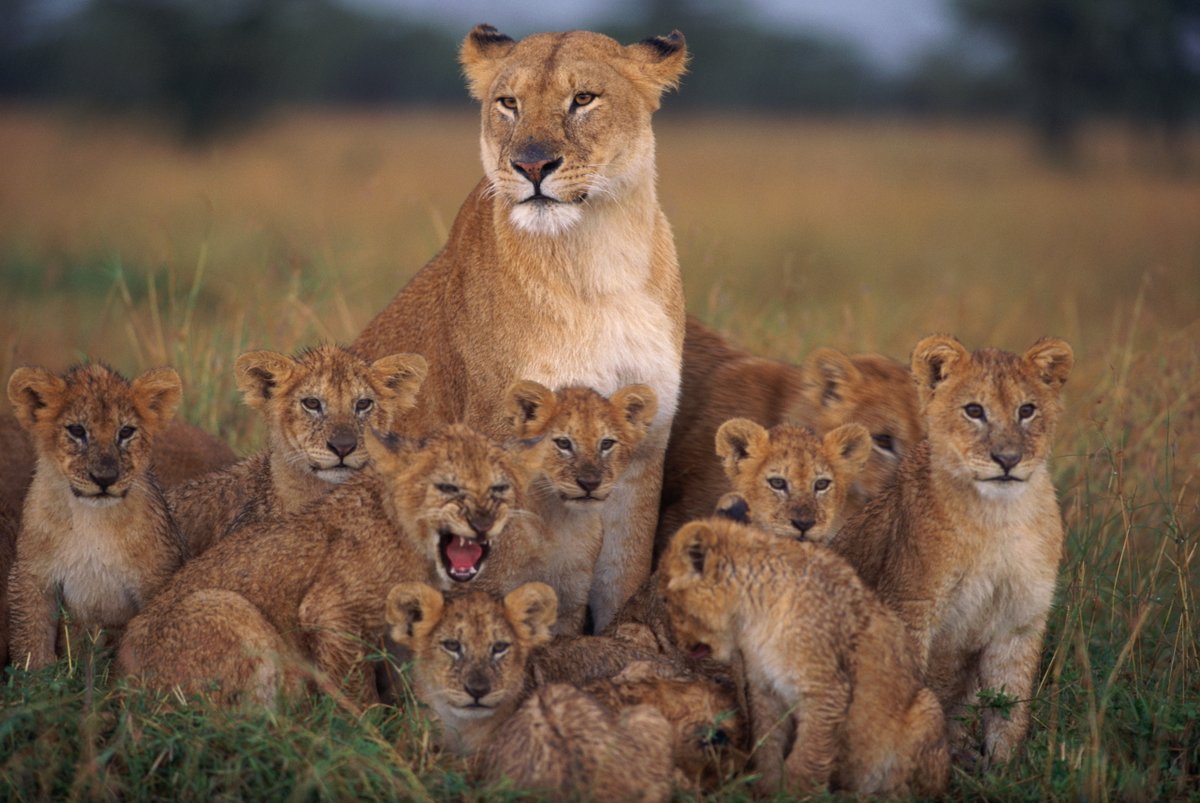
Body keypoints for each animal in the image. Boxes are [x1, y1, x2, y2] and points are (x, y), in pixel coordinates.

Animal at [6, 363, 186, 669]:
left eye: (126, 431)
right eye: (77, 430)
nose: (104, 478)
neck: (91, 519)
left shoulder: (158, 576)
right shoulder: (33, 576)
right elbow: (31, 642)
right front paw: (37, 678)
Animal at [118, 424, 534, 704]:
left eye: (499, 488)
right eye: (447, 487)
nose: (482, 522)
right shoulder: (328, 613)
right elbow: (358, 693)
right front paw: (373, 745)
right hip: (229, 607)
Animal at [662, 518, 949, 796]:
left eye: (669, 601)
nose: (676, 639)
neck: (752, 619)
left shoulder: (827, 691)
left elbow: (807, 757)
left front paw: (795, 794)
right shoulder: (765, 687)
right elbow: (767, 743)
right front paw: (767, 790)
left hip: (926, 705)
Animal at [831, 334, 1074, 766]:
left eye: (1027, 410)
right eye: (974, 410)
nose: (1008, 459)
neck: (998, 519)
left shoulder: (1021, 618)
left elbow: (1010, 706)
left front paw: (1002, 769)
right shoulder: (910, 608)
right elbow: (908, 692)